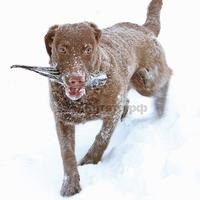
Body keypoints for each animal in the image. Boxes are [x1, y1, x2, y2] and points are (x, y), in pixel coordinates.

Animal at [43, 0, 171, 196]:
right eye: (62, 49)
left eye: (87, 49)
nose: (75, 79)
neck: (86, 97)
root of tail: (144, 28)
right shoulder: (62, 120)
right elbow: (67, 153)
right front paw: (70, 185)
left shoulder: (111, 112)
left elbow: (102, 138)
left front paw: (90, 161)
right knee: (128, 97)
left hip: (149, 83)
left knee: (166, 75)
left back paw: (160, 108)